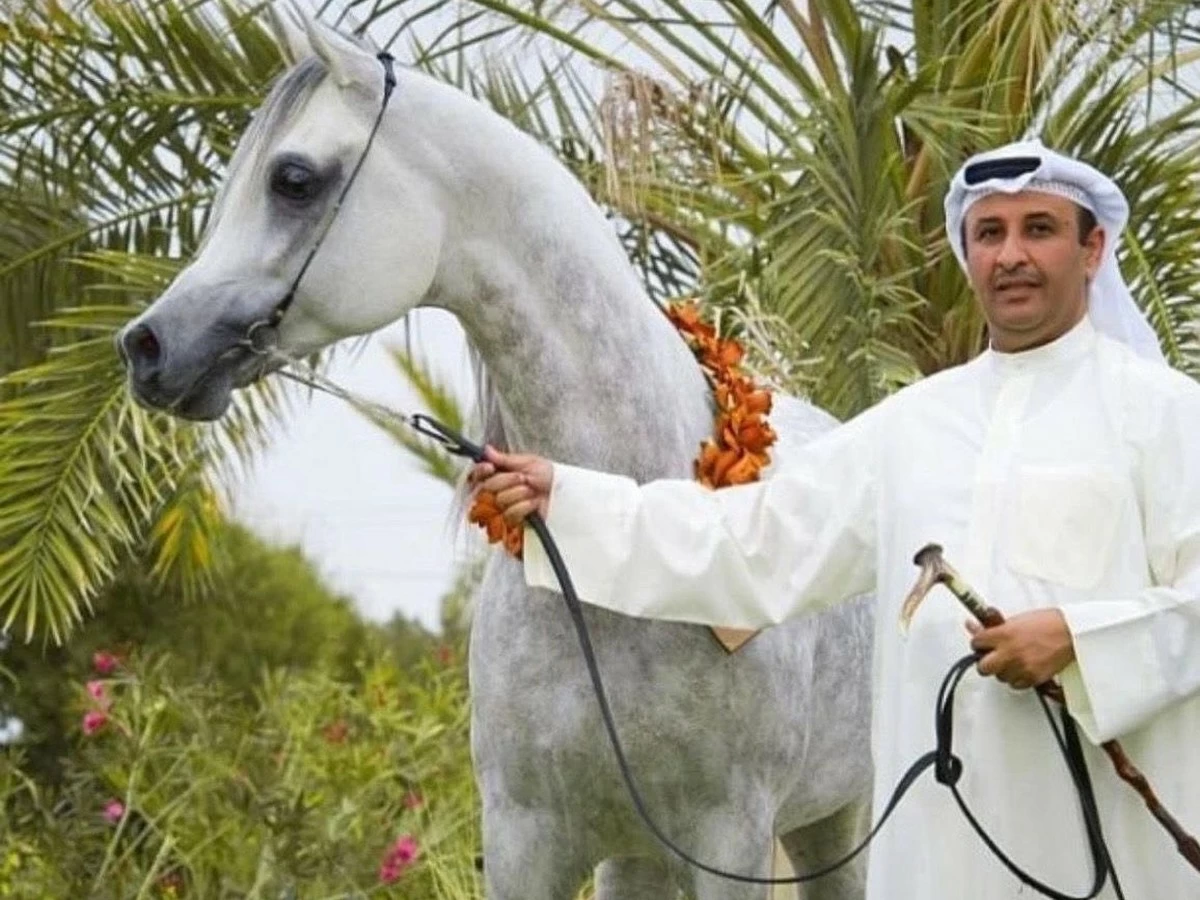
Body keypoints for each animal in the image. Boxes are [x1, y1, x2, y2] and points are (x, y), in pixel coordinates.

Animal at [116, 13, 874, 900]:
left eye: (293, 179)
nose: (147, 348)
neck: (629, 553)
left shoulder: (730, 838)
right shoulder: (524, 839)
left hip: (832, 821)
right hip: (638, 856)